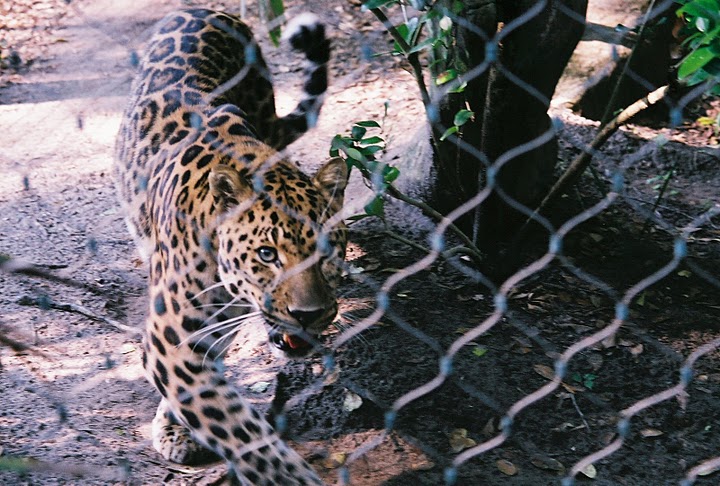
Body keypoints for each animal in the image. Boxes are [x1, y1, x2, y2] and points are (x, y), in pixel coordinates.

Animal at [114, 8, 347, 485]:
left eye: (327, 251)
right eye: (267, 255)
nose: (309, 315)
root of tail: (208, 10)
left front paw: (173, 425)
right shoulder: (172, 339)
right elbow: (244, 436)